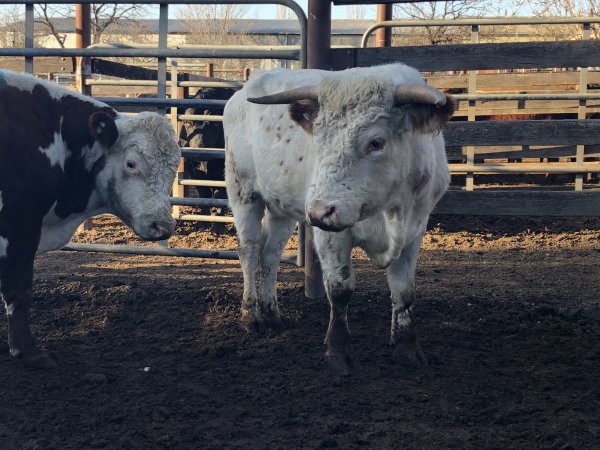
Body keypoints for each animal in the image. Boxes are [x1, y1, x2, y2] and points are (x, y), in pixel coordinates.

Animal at [0, 69, 180, 366]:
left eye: (174, 167)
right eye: (131, 163)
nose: (162, 225)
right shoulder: (21, 225)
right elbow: (19, 291)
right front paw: (29, 352)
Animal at [225, 62, 454, 372]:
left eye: (376, 142)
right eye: (318, 138)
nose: (319, 211)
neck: (390, 209)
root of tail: (242, 92)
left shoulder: (414, 231)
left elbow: (404, 291)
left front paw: (407, 347)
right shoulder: (330, 234)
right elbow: (340, 289)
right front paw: (338, 351)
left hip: (281, 208)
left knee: (270, 254)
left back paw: (273, 314)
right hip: (244, 192)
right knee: (249, 251)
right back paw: (252, 316)